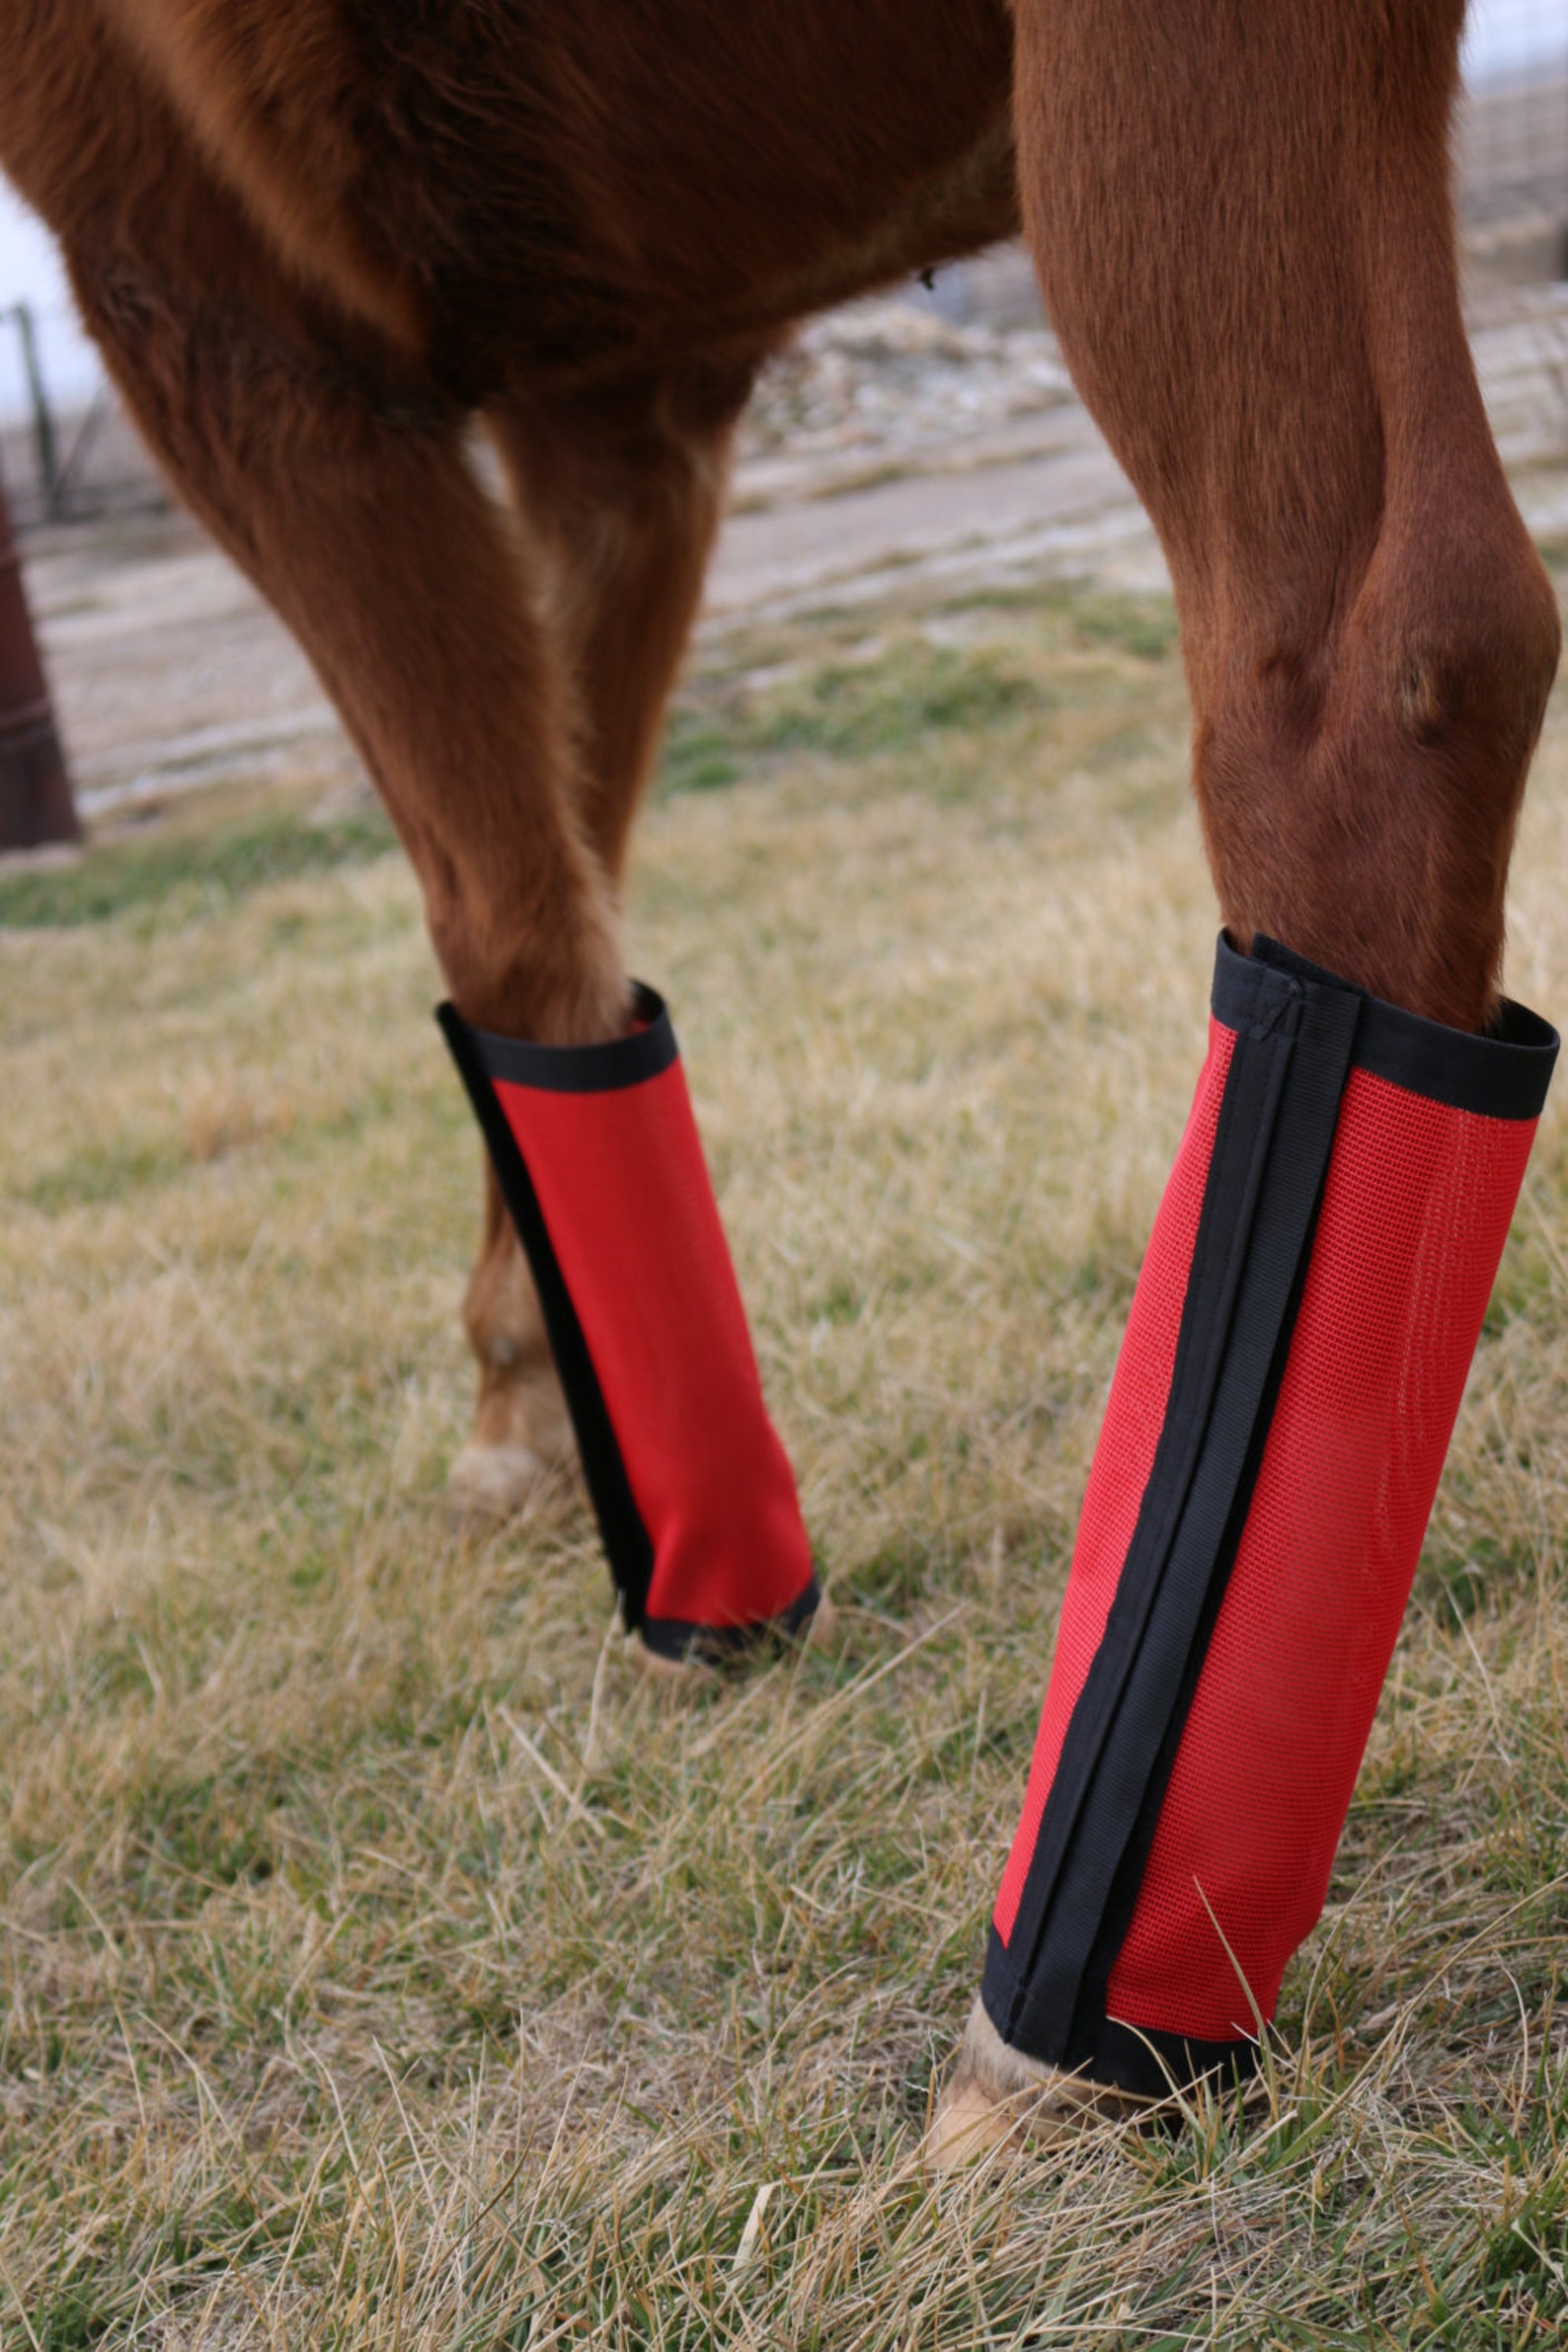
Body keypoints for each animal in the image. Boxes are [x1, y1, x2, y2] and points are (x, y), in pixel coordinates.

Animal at [1, 0, 1559, 2155]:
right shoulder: (616, 403)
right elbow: (574, 853)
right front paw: (562, 1402)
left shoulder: (214, 312)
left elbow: (499, 911)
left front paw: (661, 1548)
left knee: (1378, 663)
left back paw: (1058, 2033)